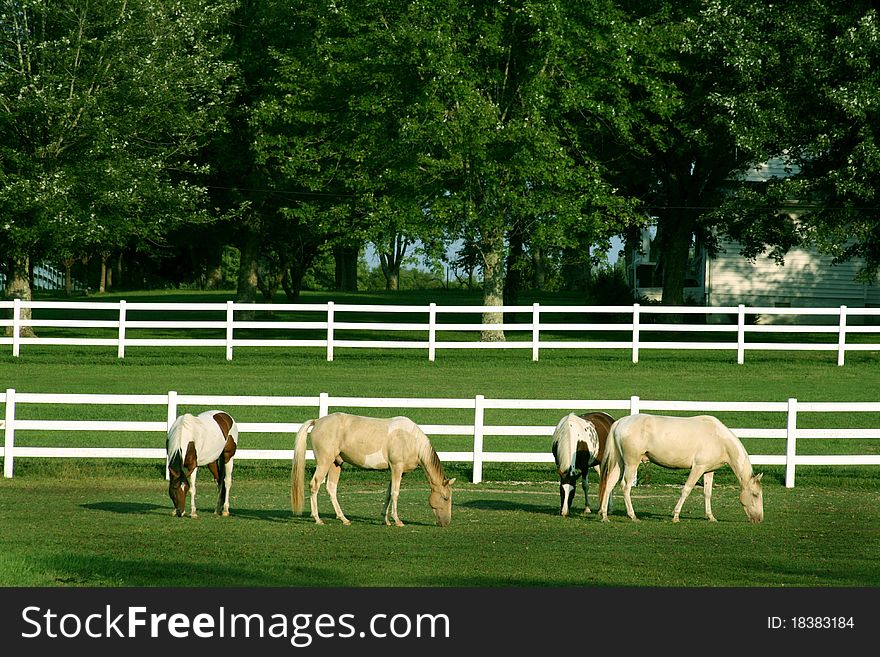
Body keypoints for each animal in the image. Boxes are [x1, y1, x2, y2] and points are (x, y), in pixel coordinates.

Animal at [290, 410, 454, 528]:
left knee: (331, 488)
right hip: (324, 463)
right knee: (315, 485)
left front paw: (386, 520)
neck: (410, 439)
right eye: (445, 498)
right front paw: (397, 520)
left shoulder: (397, 472)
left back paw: (344, 519)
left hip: (336, 464)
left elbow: (388, 494)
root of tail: (318, 421)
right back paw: (317, 519)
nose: (446, 523)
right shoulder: (397, 468)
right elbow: (395, 493)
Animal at [600, 412, 764, 524]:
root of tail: (620, 422)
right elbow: (686, 489)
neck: (719, 439)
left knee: (609, 484)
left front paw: (710, 516)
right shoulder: (698, 468)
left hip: (620, 463)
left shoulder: (709, 471)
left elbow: (707, 493)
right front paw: (676, 515)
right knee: (625, 486)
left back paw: (604, 515)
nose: (759, 519)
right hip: (631, 463)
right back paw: (632, 515)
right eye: (755, 494)